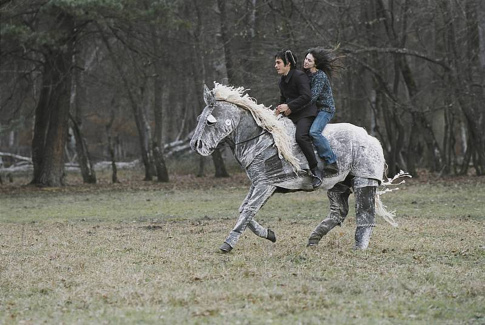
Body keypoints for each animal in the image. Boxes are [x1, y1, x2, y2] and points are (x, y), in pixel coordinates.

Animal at [191, 83, 402, 253]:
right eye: (199, 118)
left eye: (210, 121)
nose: (195, 145)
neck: (263, 140)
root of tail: (371, 138)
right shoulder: (259, 183)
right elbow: (243, 209)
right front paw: (270, 234)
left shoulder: (265, 185)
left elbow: (249, 210)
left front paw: (227, 244)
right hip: (339, 185)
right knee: (337, 213)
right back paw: (313, 239)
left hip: (364, 181)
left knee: (365, 214)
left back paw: (359, 247)